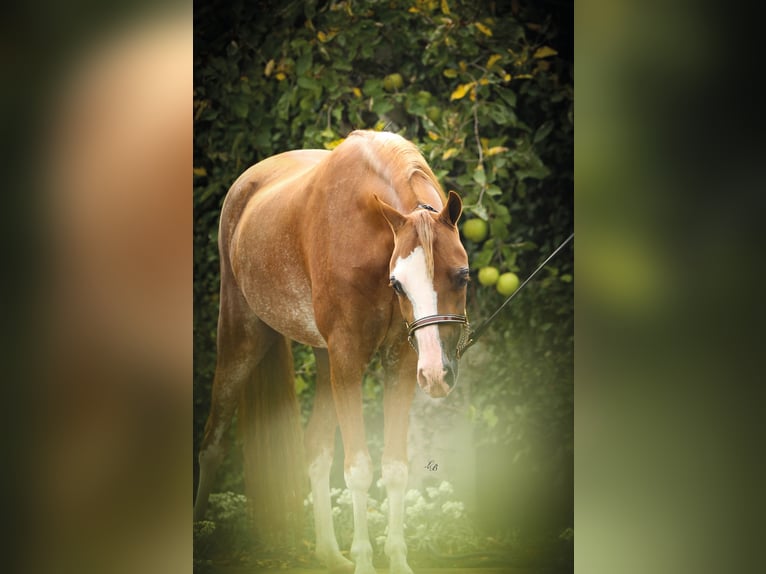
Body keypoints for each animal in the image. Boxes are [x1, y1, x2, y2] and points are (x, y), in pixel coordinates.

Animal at [195, 130, 472, 574]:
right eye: (398, 284)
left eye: (461, 276)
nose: (435, 374)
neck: (370, 231)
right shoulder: (348, 359)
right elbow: (358, 468)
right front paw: (365, 563)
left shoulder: (399, 361)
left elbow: (395, 466)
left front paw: (396, 562)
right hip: (242, 338)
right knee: (212, 445)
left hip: (327, 361)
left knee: (317, 449)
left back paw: (327, 552)